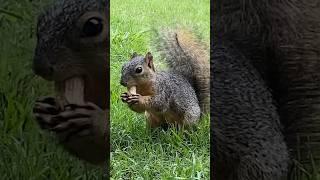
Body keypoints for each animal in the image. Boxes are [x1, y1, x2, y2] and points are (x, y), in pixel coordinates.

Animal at [32, 0, 109, 165]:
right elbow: (94, 153)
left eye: (93, 26)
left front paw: (94, 119)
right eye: (40, 21)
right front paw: (46, 108)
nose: (40, 68)